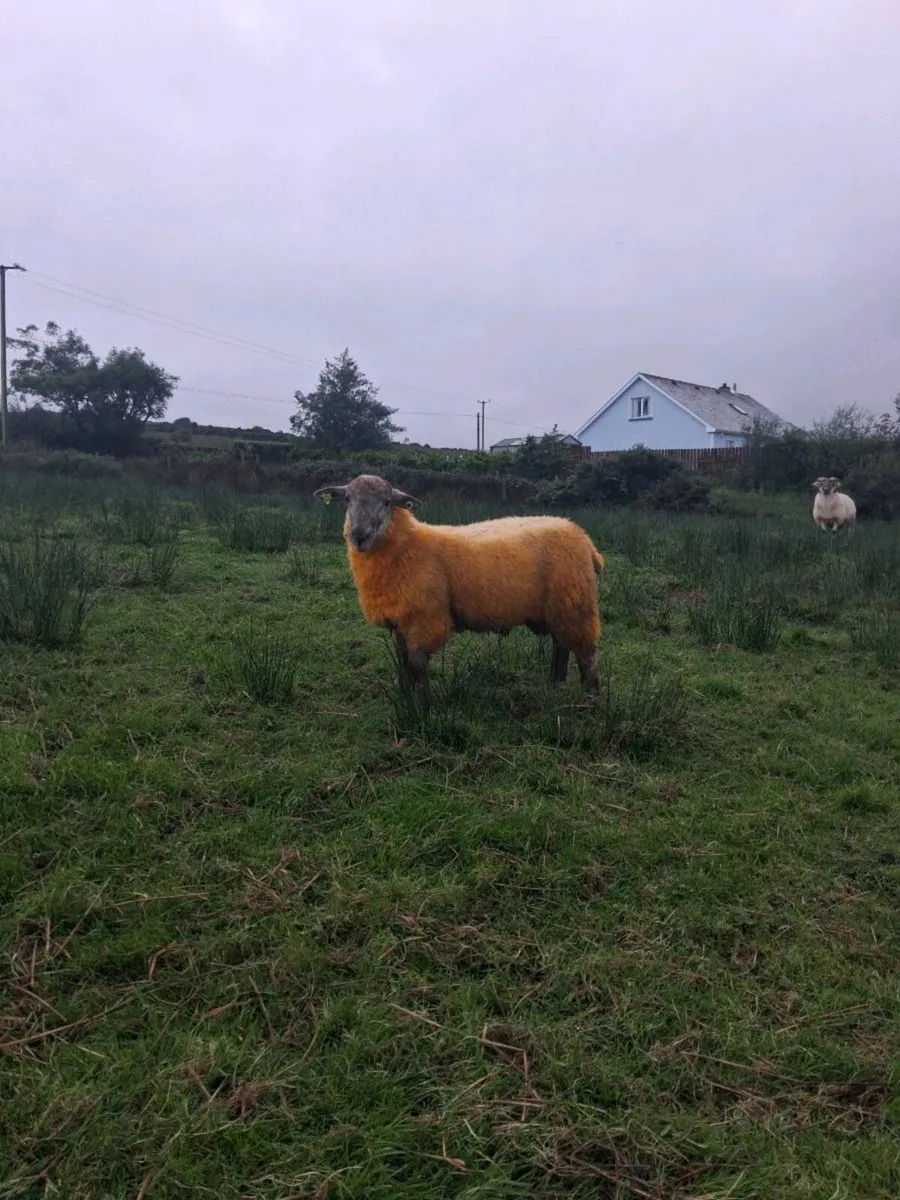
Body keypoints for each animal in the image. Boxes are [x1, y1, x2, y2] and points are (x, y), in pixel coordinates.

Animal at [313, 473, 606, 693]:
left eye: (386, 502)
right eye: (347, 499)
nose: (359, 536)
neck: (409, 545)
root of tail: (584, 537)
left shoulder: (426, 618)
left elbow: (417, 666)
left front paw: (424, 710)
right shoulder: (400, 621)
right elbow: (403, 663)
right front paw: (406, 697)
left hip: (576, 603)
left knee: (587, 655)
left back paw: (589, 700)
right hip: (560, 606)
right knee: (561, 646)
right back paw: (555, 685)